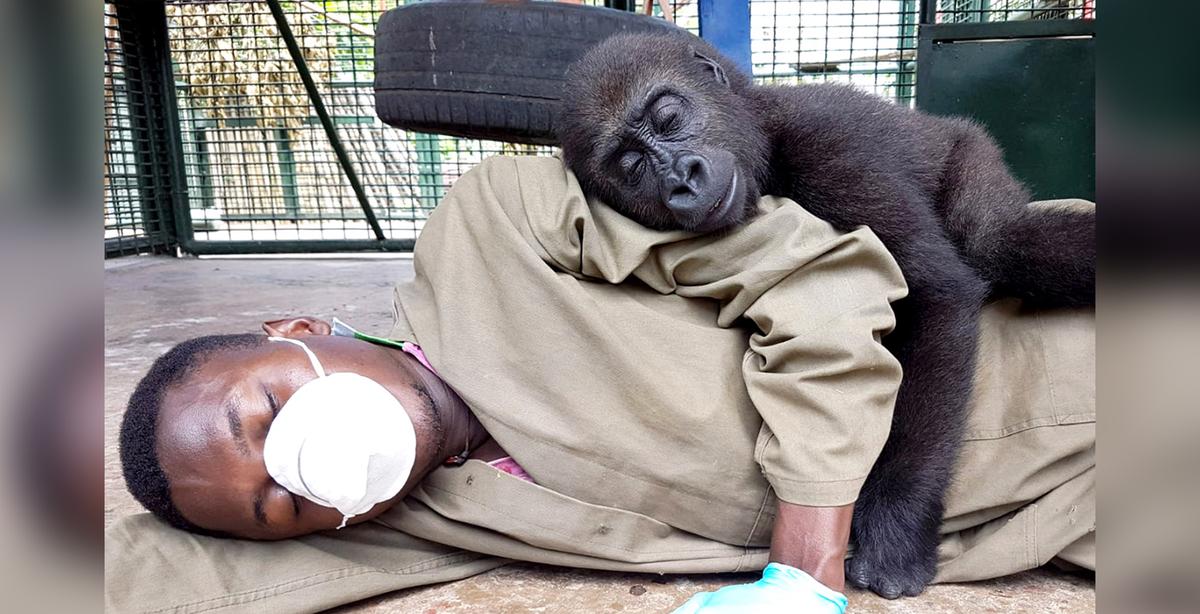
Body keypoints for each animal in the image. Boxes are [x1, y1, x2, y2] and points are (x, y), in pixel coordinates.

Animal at [556, 31, 1094, 599]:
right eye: (633, 167)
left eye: (668, 119)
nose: (682, 177)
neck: (764, 135)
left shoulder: (829, 146)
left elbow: (936, 295)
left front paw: (897, 527)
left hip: (972, 153)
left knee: (998, 240)